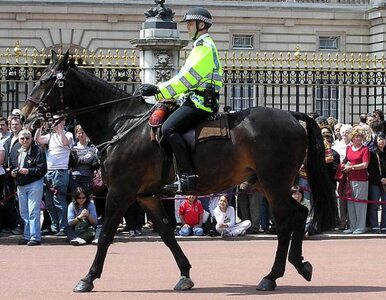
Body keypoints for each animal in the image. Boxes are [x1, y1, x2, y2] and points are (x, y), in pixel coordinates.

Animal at [21, 52, 336, 292]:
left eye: (46, 80)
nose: (26, 116)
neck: (123, 125)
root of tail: (292, 114)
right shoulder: (146, 196)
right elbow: (166, 233)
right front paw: (185, 273)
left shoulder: (120, 192)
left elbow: (107, 232)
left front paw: (88, 277)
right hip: (266, 184)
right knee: (298, 214)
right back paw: (300, 265)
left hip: (274, 183)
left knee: (286, 221)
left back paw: (272, 276)